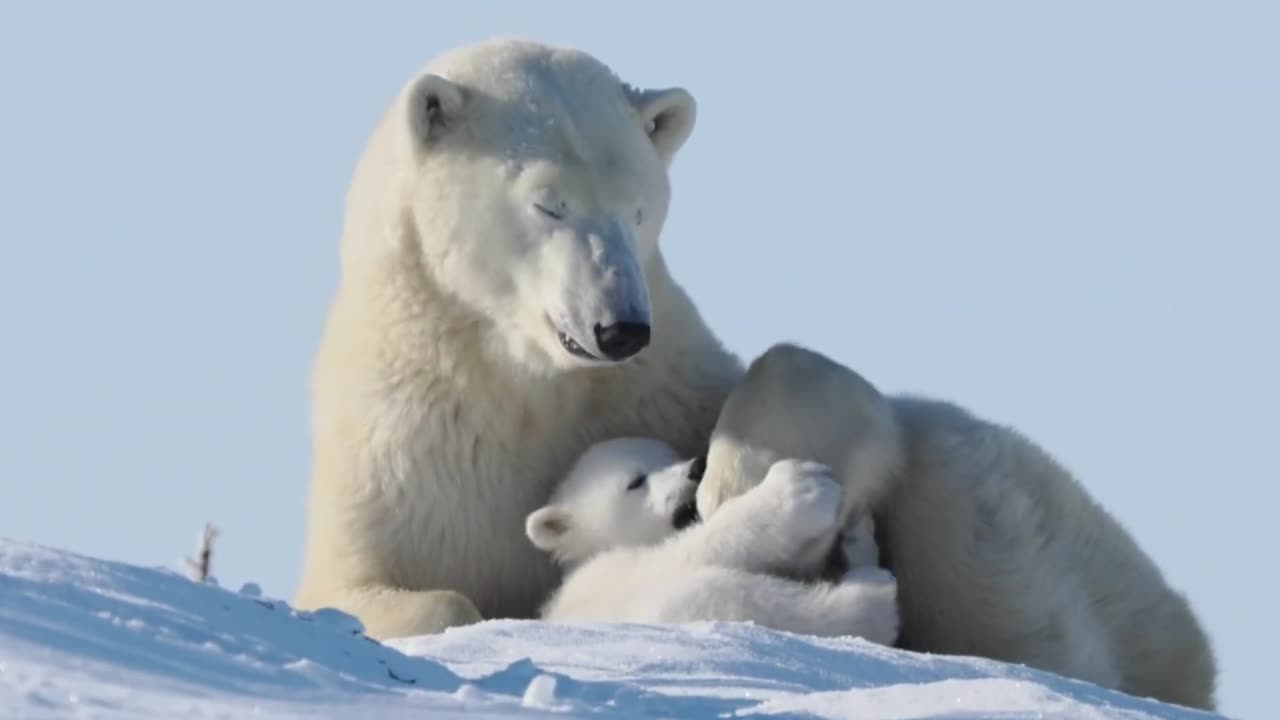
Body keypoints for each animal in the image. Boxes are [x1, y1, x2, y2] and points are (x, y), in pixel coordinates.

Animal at [291, 37, 747, 638]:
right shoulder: (399, 458)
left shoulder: (663, 387)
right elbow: (363, 588)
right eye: (548, 205)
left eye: (639, 209)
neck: (523, 381)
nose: (621, 330)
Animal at [524, 435, 896, 640]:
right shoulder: (604, 577)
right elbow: (679, 556)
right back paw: (870, 590)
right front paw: (798, 487)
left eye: (672, 455)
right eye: (635, 481)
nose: (697, 466)